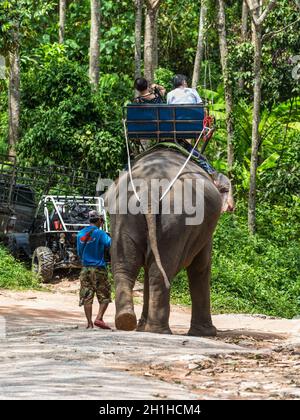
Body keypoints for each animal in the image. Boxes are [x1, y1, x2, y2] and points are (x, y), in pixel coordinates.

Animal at [106, 147, 234, 334]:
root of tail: (149, 190)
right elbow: (201, 266)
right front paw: (207, 333)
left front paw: (142, 326)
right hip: (174, 220)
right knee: (162, 270)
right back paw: (158, 331)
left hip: (124, 214)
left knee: (126, 266)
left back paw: (127, 321)